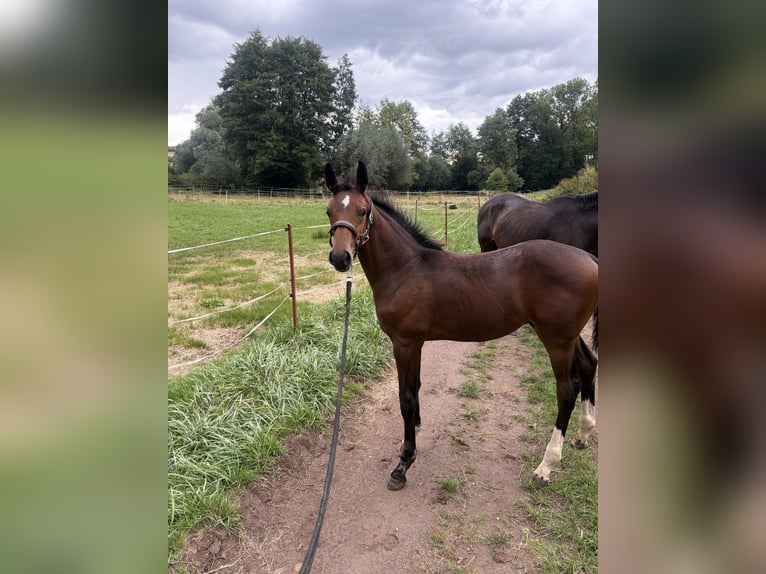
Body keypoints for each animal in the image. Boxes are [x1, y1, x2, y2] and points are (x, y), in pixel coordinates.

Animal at [325, 161, 599, 490]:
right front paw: (414, 434)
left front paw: (403, 464)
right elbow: (415, 388)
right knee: (589, 365)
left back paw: (546, 466)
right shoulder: (416, 342)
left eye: (363, 211)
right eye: (329, 211)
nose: (340, 258)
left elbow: (406, 398)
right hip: (567, 335)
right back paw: (583, 435)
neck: (406, 269)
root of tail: (592, 261)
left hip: (556, 339)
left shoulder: (404, 342)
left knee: (567, 389)